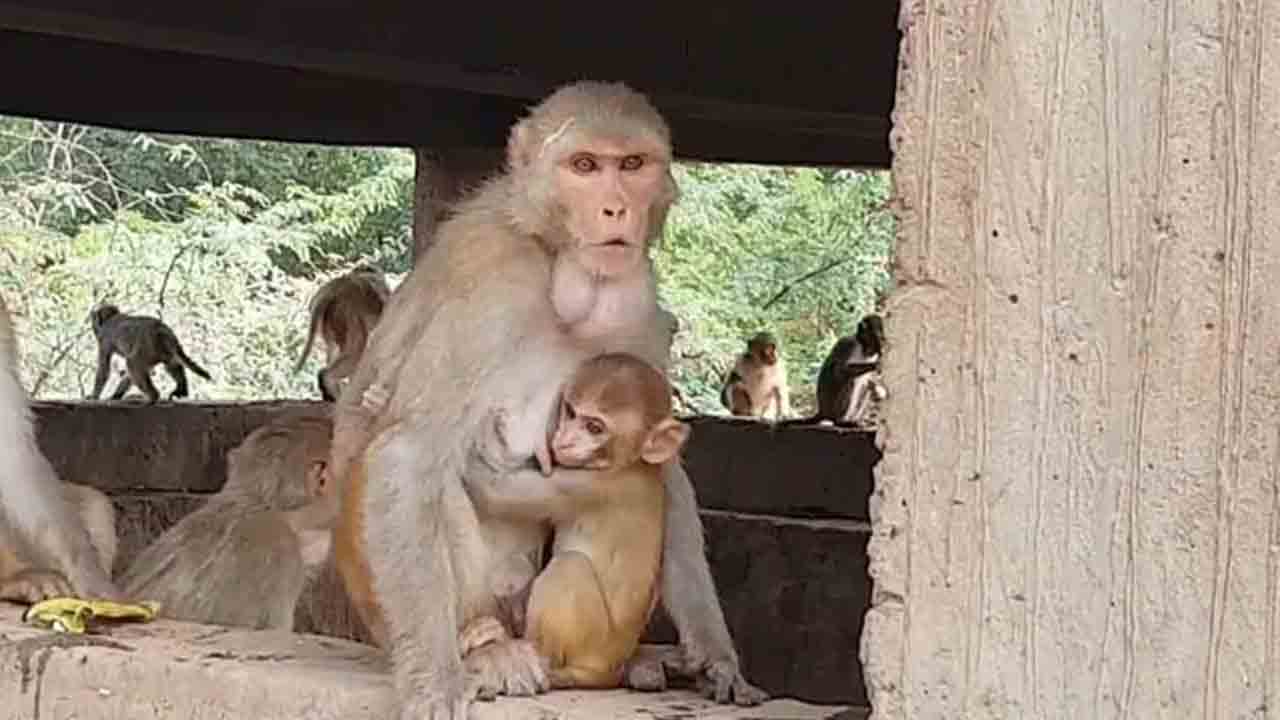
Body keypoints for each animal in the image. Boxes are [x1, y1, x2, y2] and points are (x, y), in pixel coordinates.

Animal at [294, 264, 391, 402]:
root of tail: (333, 290)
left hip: (330, 319)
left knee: (336, 348)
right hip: (346, 311)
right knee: (357, 348)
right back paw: (328, 379)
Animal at [461, 353, 688, 691]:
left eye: (594, 427)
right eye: (570, 412)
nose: (564, 439)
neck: (633, 464)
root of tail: (612, 671)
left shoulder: (591, 486)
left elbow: (492, 491)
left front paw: (488, 436)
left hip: (593, 645)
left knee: (571, 566)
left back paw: (529, 654)